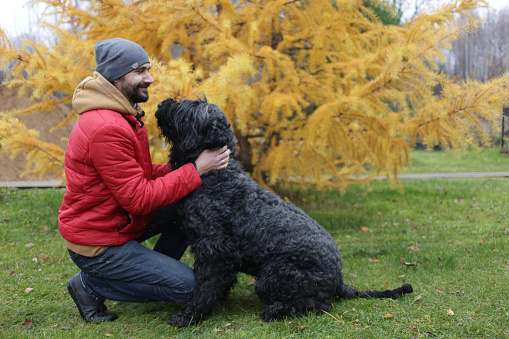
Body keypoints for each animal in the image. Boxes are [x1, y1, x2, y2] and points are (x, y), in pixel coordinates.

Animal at [155, 99, 412, 330]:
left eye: (189, 107)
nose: (161, 104)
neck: (217, 176)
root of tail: (339, 280)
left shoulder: (213, 249)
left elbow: (204, 286)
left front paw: (190, 315)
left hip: (271, 277)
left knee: (319, 304)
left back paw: (276, 311)